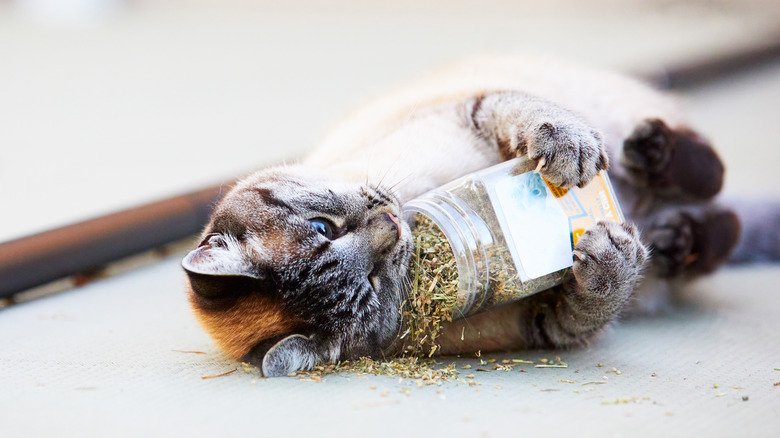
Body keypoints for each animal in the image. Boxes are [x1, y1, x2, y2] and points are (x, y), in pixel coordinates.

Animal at [178, 54, 744, 376]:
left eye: (325, 229)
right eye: (371, 288)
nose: (392, 226)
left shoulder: (467, 111)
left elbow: (532, 118)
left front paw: (568, 150)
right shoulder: (544, 324)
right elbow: (591, 301)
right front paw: (607, 256)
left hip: (616, 112)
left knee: (709, 172)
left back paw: (653, 154)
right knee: (719, 225)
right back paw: (672, 236)